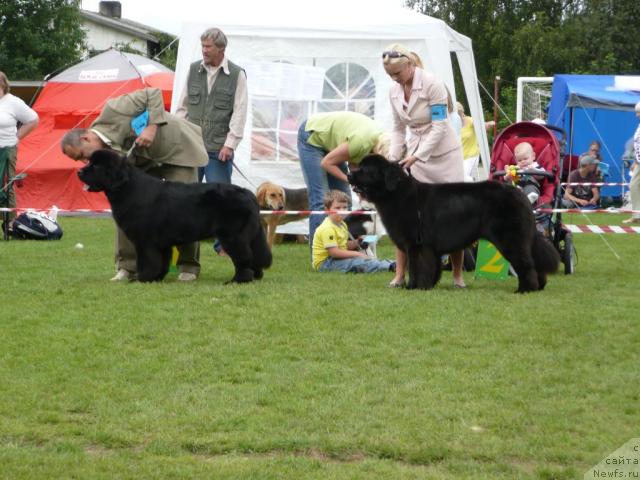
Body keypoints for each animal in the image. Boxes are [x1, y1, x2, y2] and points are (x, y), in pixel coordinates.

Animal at [79, 150, 272, 284]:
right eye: (89, 162)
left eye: (96, 166)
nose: (79, 172)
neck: (127, 188)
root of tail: (248, 193)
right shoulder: (161, 242)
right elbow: (162, 262)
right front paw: (156, 278)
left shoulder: (145, 240)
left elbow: (148, 260)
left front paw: (142, 278)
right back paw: (256, 276)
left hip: (233, 237)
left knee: (244, 258)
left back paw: (237, 280)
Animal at [348, 154, 556, 292]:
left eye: (364, 170)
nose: (349, 175)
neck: (397, 194)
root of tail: (521, 195)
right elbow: (428, 267)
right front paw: (426, 284)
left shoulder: (417, 244)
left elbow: (416, 267)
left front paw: (414, 286)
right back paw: (539, 286)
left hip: (510, 239)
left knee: (525, 263)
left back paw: (525, 289)